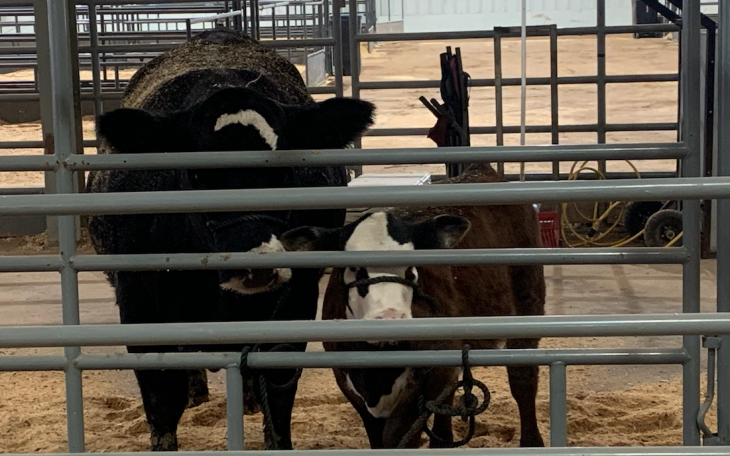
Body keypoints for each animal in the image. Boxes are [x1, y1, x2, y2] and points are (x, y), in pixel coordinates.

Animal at [86, 29, 375, 451]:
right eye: (198, 176)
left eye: (285, 173)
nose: (255, 265)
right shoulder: (138, 299)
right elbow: (161, 396)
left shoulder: (297, 297)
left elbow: (278, 387)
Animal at [280, 162, 546, 449]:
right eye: (352, 267)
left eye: (411, 269)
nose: (390, 318)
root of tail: (481, 171)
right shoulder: (349, 383)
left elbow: (399, 437)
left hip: (528, 301)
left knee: (522, 377)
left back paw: (532, 441)